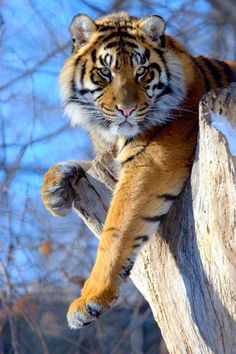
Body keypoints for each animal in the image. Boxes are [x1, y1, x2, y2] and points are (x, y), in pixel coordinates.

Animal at [41, 12, 236, 330]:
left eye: (142, 71)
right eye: (105, 72)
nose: (127, 110)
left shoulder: (151, 161)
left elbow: (117, 228)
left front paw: (89, 300)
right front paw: (54, 192)